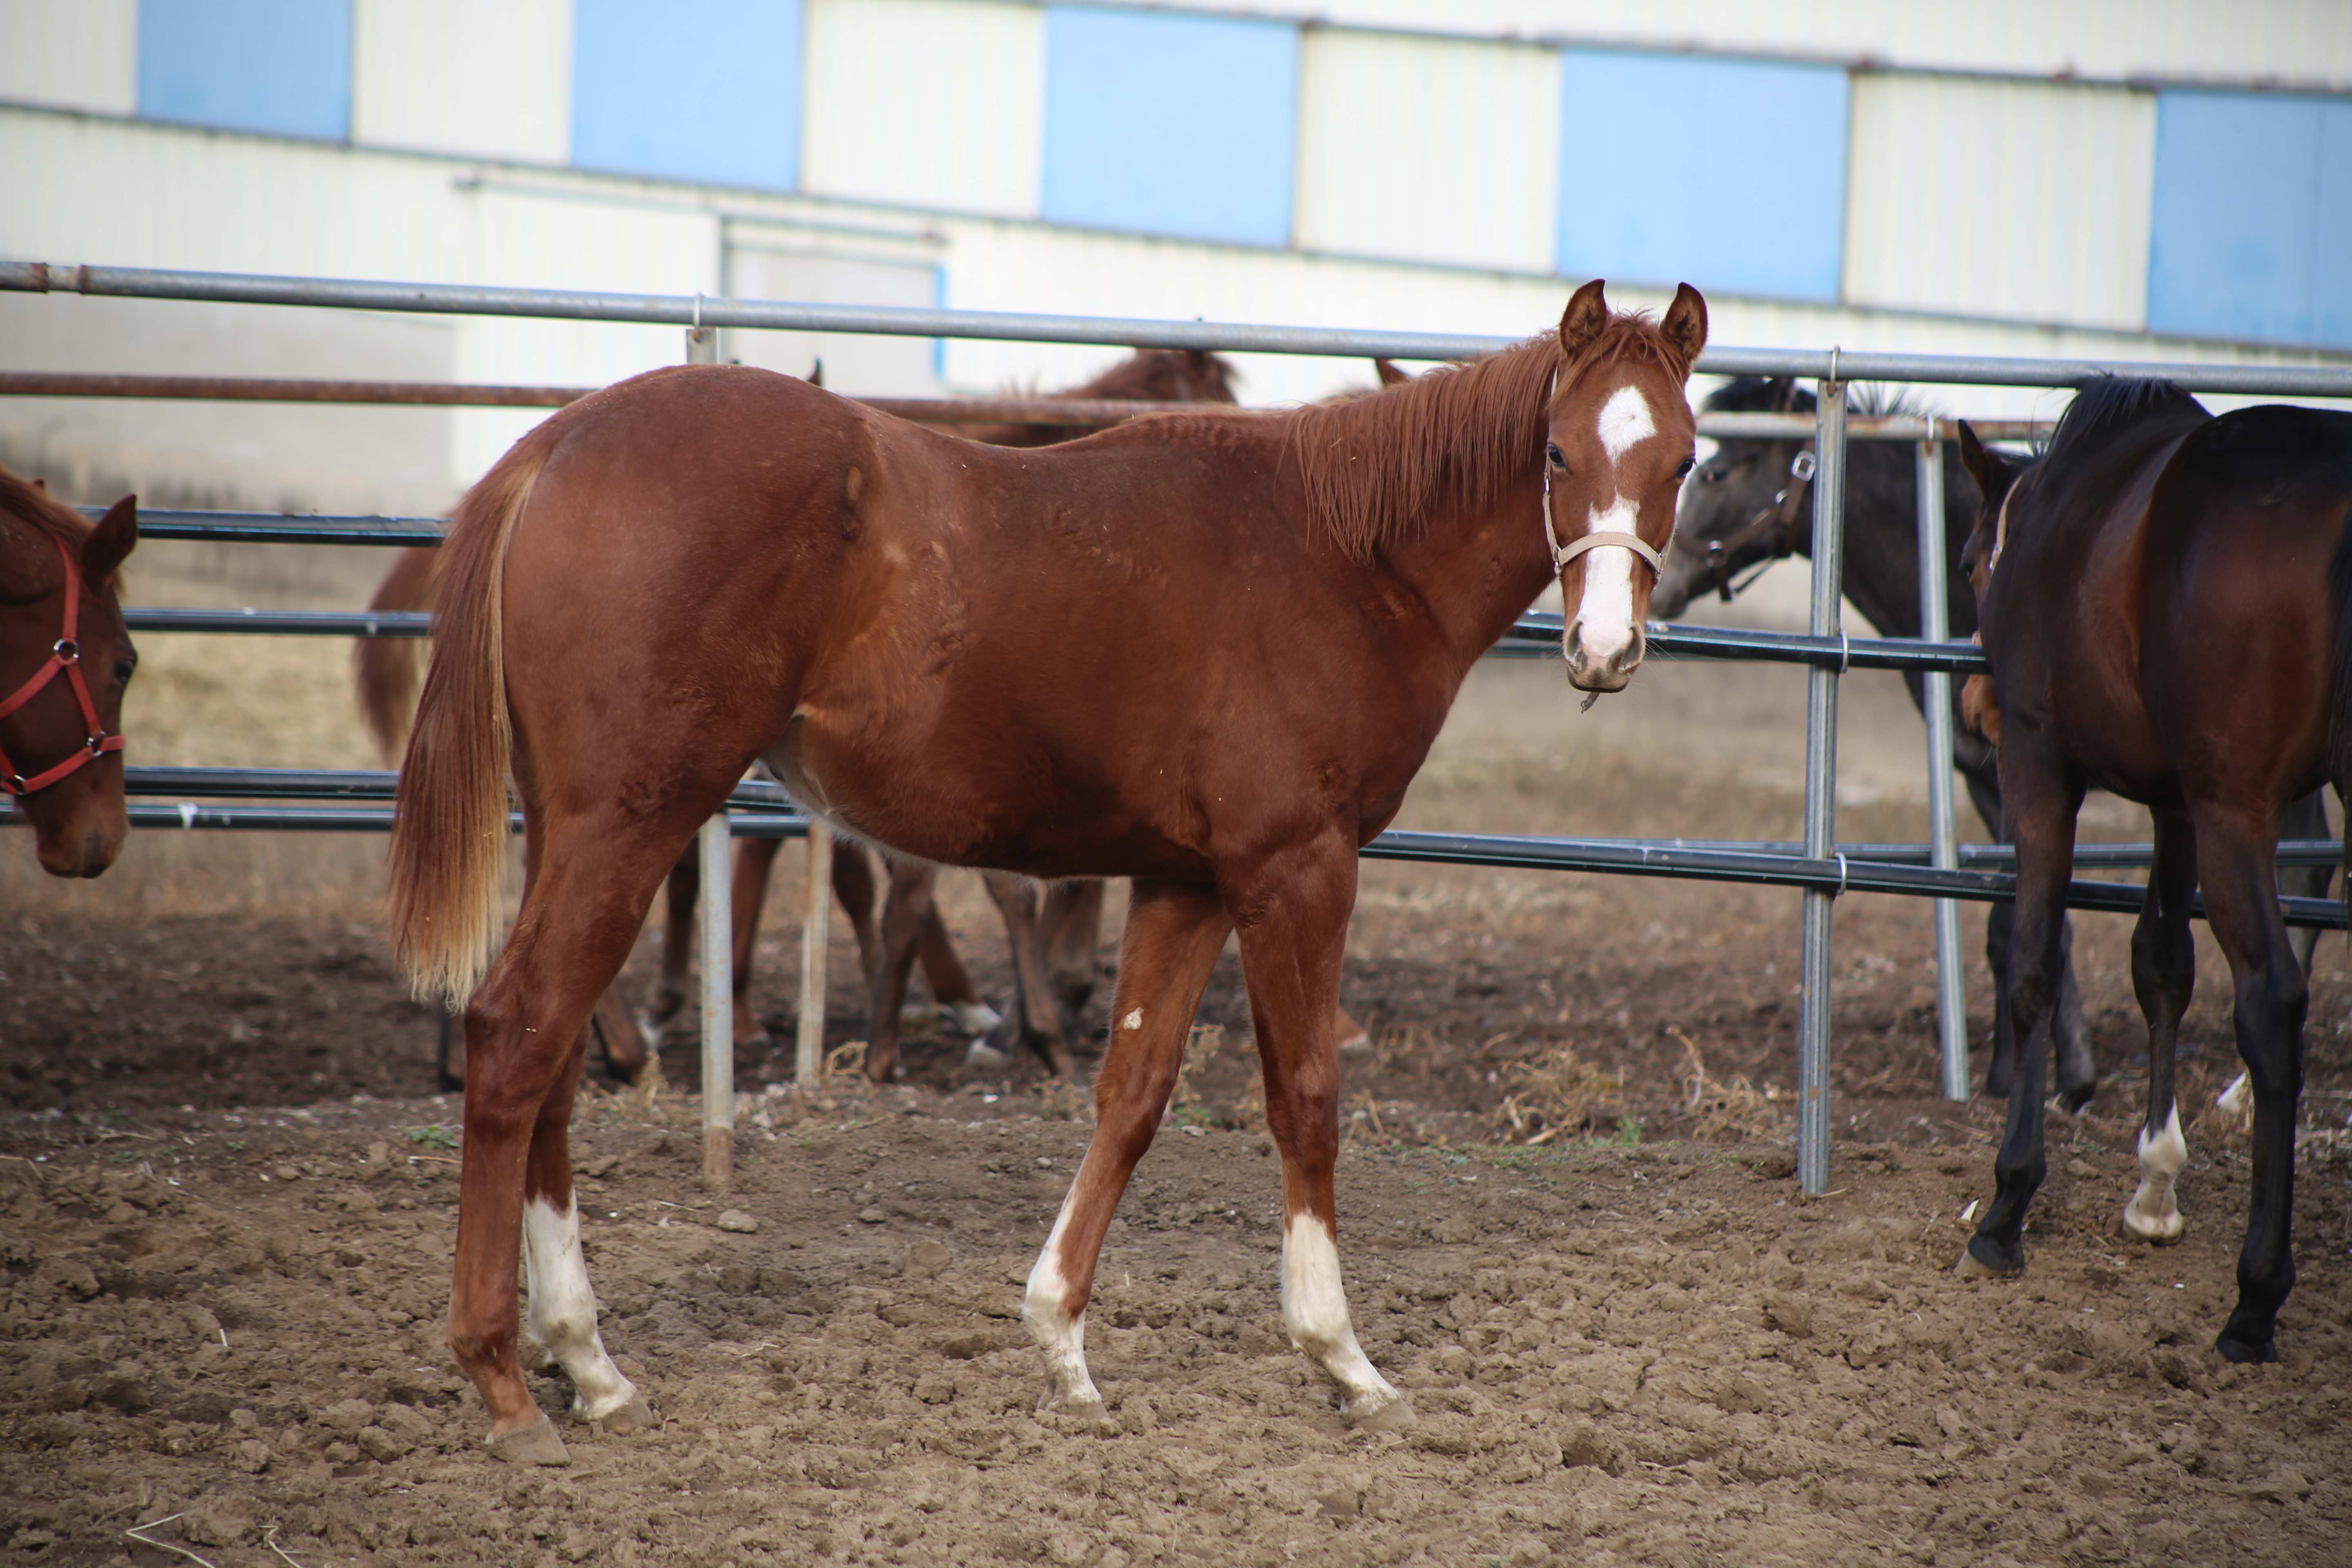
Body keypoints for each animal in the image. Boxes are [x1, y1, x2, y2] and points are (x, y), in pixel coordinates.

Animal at [385, 278, 1712, 1457]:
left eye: (1684, 459)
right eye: (1555, 449)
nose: (1605, 649)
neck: (1341, 554)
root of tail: (554, 446)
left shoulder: (1187, 881)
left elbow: (1131, 1092)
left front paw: (1061, 1344)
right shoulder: (1294, 867)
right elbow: (1305, 1097)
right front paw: (1343, 1358)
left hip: (578, 829)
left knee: (556, 1054)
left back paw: (590, 1367)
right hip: (630, 818)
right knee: (517, 1032)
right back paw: (509, 1380)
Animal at [1947, 376, 2352, 1363]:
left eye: (1972, 563)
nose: (1975, 703)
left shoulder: (2040, 770)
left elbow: (2034, 962)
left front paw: (2007, 1206)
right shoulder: (2172, 804)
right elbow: (2162, 965)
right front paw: (2155, 1186)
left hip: (2235, 809)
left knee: (2270, 1004)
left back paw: (2255, 1300)